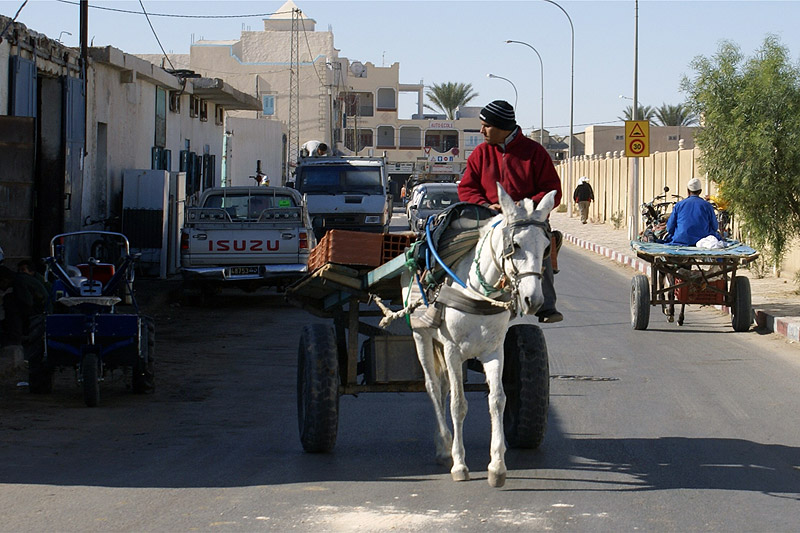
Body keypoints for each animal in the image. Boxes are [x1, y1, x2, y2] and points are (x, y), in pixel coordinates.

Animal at [400, 182, 556, 486]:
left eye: (546, 248)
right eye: (515, 245)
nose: (533, 300)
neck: (477, 291)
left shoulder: (494, 351)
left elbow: (497, 400)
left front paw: (497, 466)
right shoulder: (452, 350)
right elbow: (458, 404)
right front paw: (460, 465)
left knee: (444, 386)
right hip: (422, 337)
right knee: (433, 387)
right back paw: (444, 446)